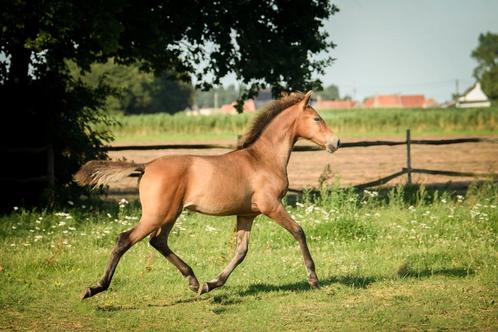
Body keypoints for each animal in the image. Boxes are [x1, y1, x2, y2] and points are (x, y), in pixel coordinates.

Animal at [76, 90, 340, 298]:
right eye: (317, 118)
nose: (336, 142)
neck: (263, 159)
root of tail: (147, 165)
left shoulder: (247, 214)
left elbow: (241, 252)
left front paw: (211, 284)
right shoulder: (271, 205)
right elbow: (299, 231)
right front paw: (313, 278)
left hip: (170, 214)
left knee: (158, 241)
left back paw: (193, 281)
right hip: (156, 214)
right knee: (124, 239)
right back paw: (96, 287)